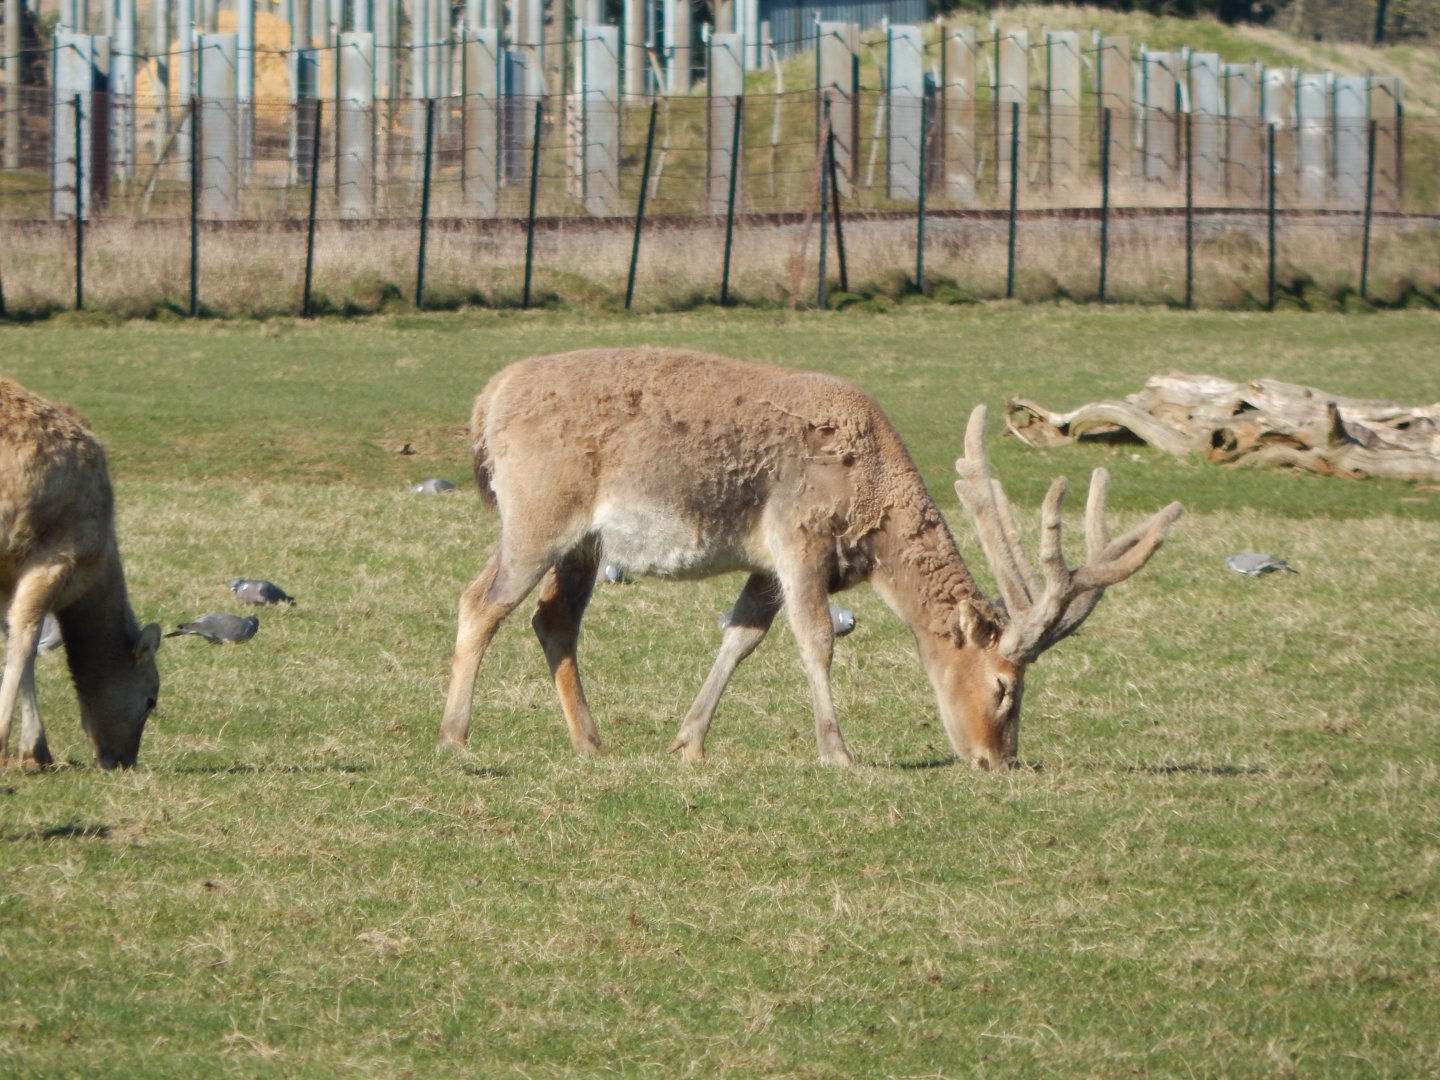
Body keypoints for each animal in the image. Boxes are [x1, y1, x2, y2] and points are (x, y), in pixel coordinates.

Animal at [1, 377, 162, 770]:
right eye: (151, 699)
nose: (123, 760)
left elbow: (12, 636)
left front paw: (36, 752)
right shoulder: (53, 557)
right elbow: (25, 639)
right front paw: (28, 749)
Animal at [438, 347, 1183, 768]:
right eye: (1005, 687)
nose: (998, 761)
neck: (873, 522)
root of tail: (484, 403)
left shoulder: (764, 562)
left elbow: (741, 636)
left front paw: (687, 743)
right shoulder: (799, 535)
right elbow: (816, 639)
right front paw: (837, 752)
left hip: (584, 545)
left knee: (553, 620)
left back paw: (591, 744)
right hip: (538, 515)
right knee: (480, 601)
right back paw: (455, 737)